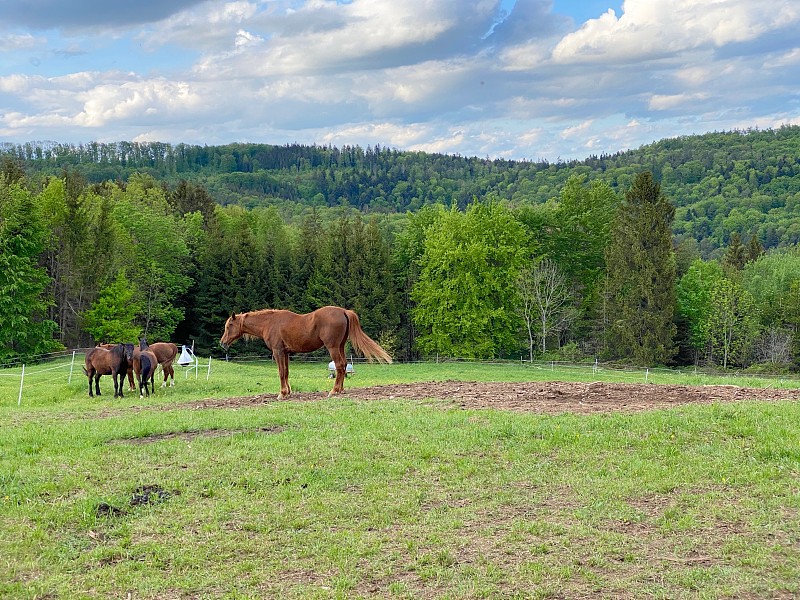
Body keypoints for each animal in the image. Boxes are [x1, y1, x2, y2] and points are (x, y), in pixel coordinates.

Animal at [220, 308, 392, 400]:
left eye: (229, 326)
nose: (222, 343)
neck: (270, 323)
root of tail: (344, 311)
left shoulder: (278, 351)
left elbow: (281, 372)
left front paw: (282, 394)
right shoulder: (286, 353)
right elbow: (286, 372)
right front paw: (288, 392)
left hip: (333, 347)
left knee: (339, 366)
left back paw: (334, 391)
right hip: (340, 346)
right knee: (343, 366)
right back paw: (340, 390)